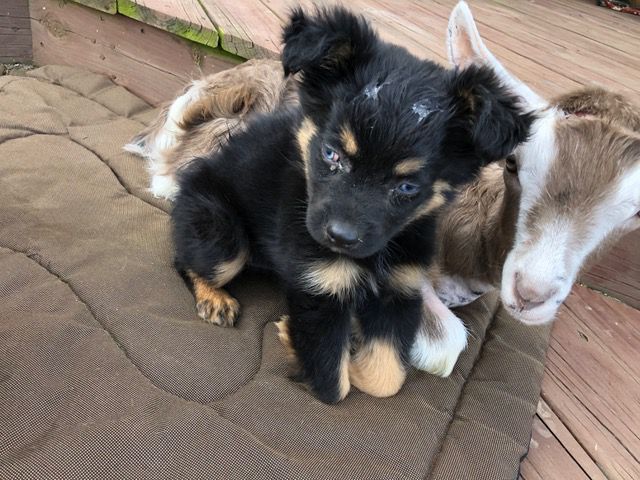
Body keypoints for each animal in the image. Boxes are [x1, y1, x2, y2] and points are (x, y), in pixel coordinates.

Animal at [172, 6, 532, 404]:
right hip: (222, 235)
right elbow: (333, 383)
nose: (340, 238)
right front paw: (295, 340)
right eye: (332, 154)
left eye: (408, 186)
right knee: (187, 260)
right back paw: (215, 298)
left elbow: (387, 378)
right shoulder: (321, 286)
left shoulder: (400, 287)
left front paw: (359, 358)